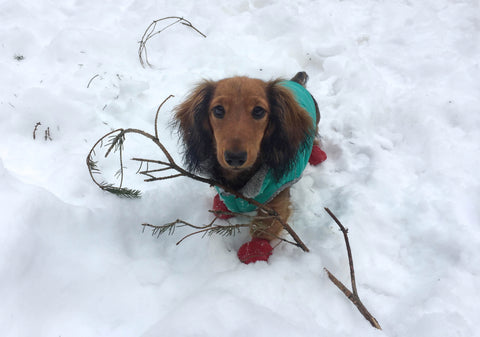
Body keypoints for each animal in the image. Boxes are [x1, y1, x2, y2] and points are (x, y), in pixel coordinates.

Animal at [172, 71, 326, 262]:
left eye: (258, 110)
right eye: (218, 110)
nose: (235, 158)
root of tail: (295, 81)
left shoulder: (277, 201)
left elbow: (264, 227)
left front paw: (254, 250)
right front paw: (221, 205)